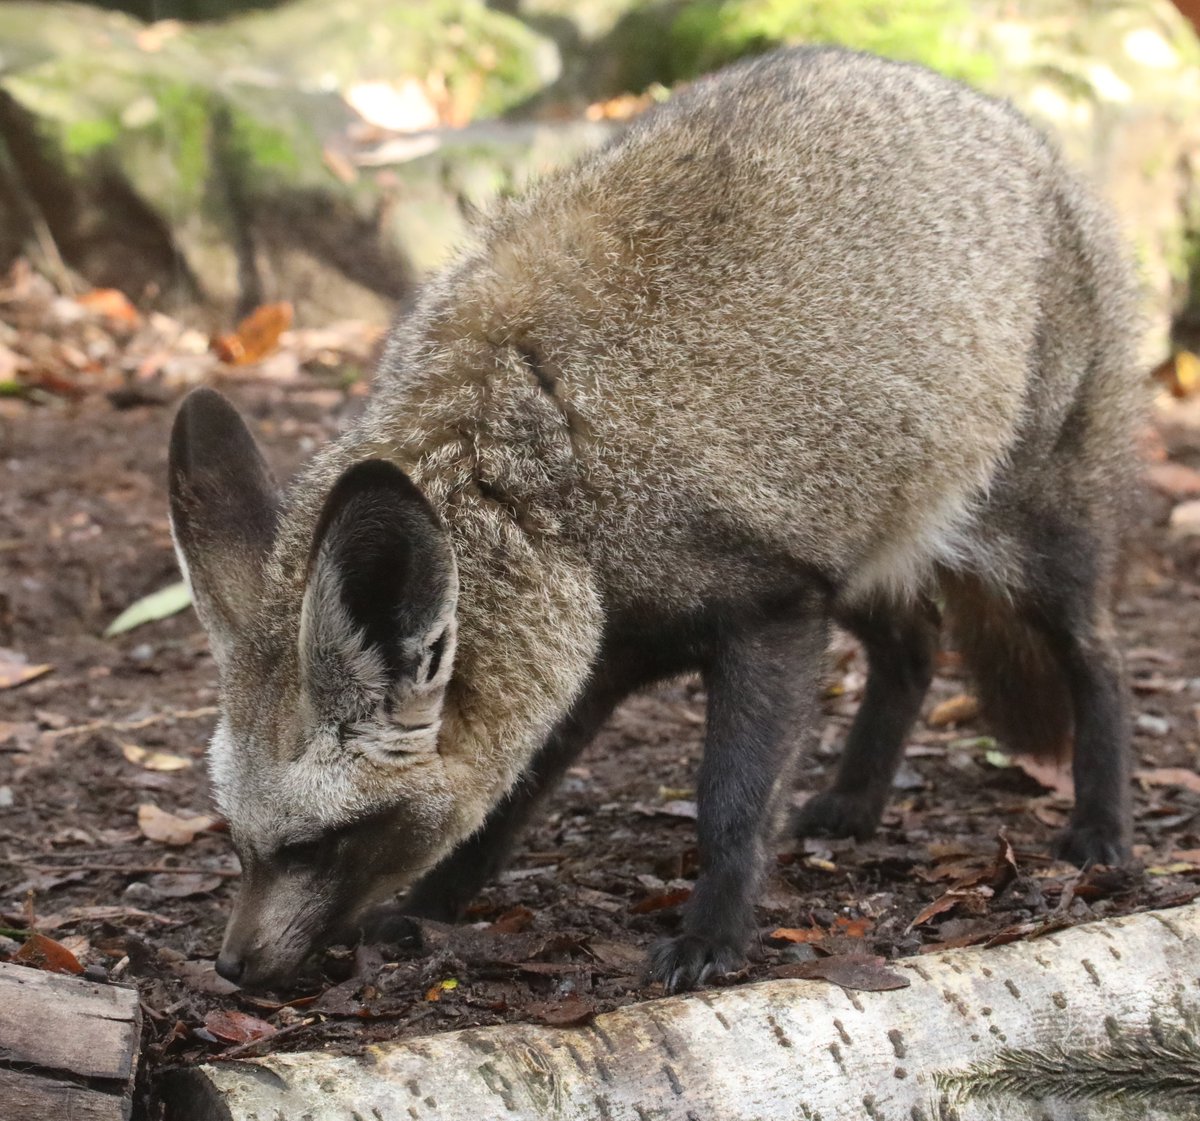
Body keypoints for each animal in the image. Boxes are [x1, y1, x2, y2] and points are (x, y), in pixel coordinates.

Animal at [168, 46, 1143, 993]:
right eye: (239, 842)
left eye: (314, 845)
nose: (232, 969)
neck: (540, 496)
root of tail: (1011, 124)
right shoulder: (599, 659)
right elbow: (505, 803)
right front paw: (432, 906)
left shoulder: (772, 612)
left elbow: (732, 808)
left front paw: (713, 936)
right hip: (867, 545)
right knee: (915, 645)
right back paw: (858, 803)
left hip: (1033, 543)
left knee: (1098, 659)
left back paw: (1103, 828)